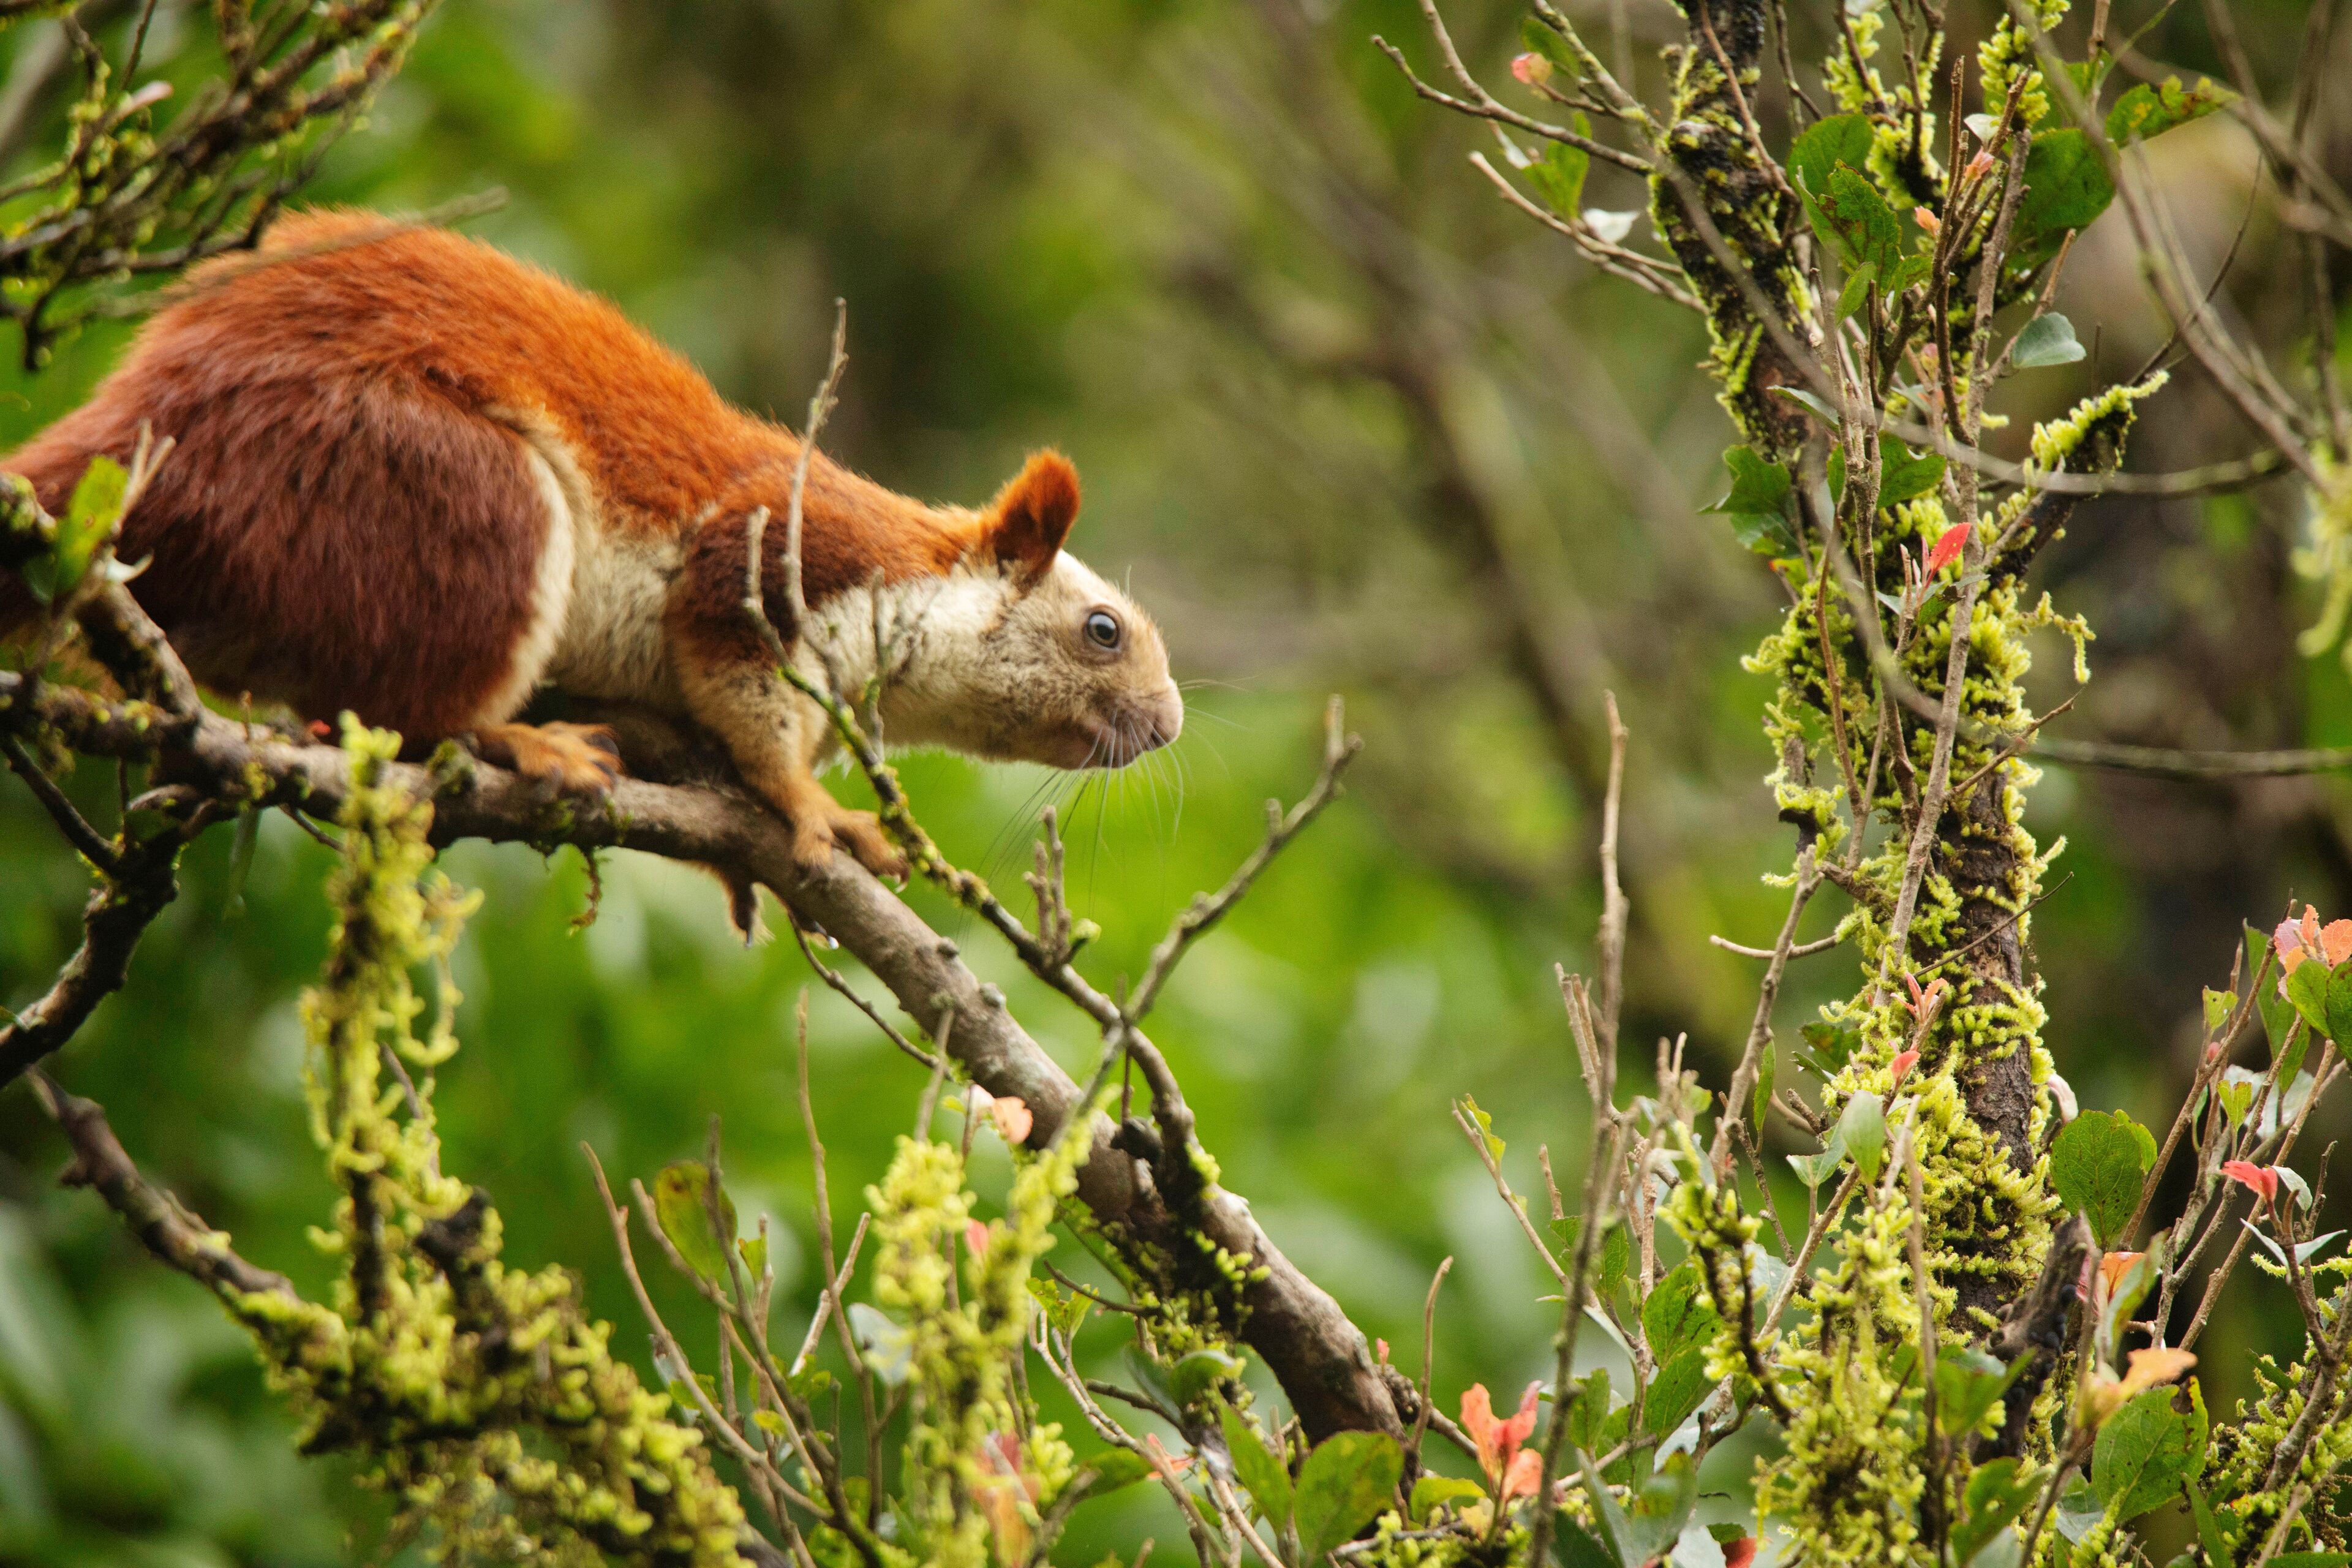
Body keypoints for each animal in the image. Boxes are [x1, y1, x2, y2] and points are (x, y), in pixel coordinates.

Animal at [0, 211, 1182, 879]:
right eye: (1103, 630)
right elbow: (745, 689)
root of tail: (147, 419)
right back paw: (520, 745)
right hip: (447, 491)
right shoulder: (771, 557)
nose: (1169, 727)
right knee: (412, 711)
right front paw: (810, 810)